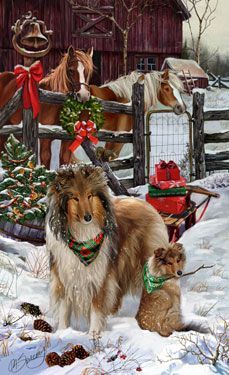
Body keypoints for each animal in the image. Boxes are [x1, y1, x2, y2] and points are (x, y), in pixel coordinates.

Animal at [45, 164, 169, 334]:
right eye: (75, 198)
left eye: (90, 195)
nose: (88, 217)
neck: (82, 238)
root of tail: (143, 203)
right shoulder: (64, 278)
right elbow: (64, 310)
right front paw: (63, 332)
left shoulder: (99, 277)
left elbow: (96, 309)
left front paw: (93, 334)